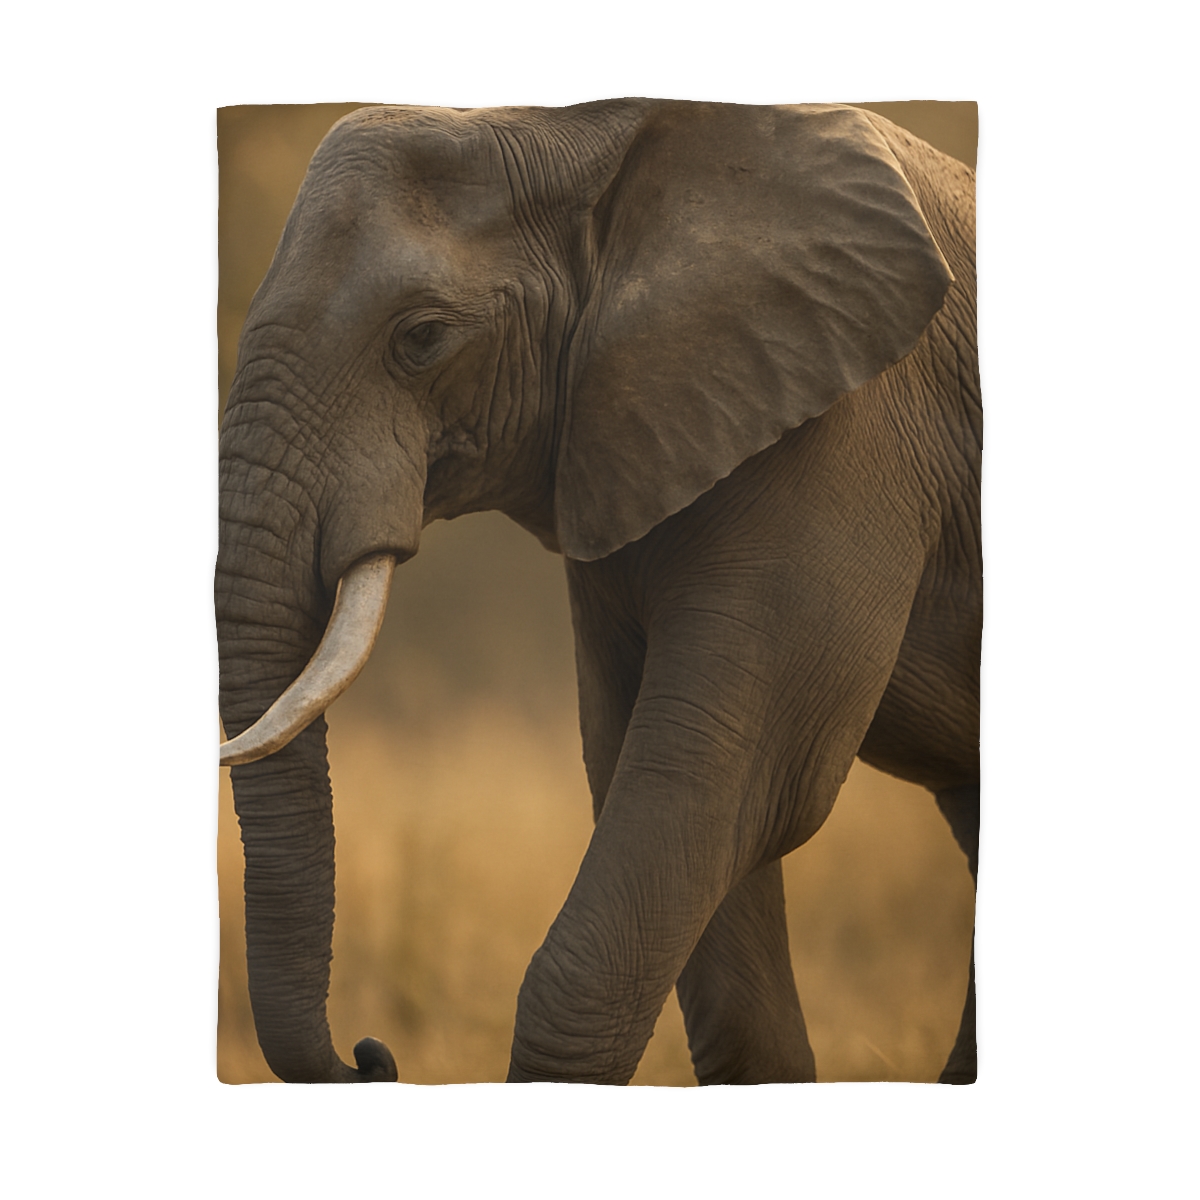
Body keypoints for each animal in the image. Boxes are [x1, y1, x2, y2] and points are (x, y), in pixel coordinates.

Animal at [217, 99, 980, 1085]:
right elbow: (647, 778)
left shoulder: (850, 435)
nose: (371, 1052)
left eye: (420, 338)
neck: (579, 129)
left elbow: (732, 778)